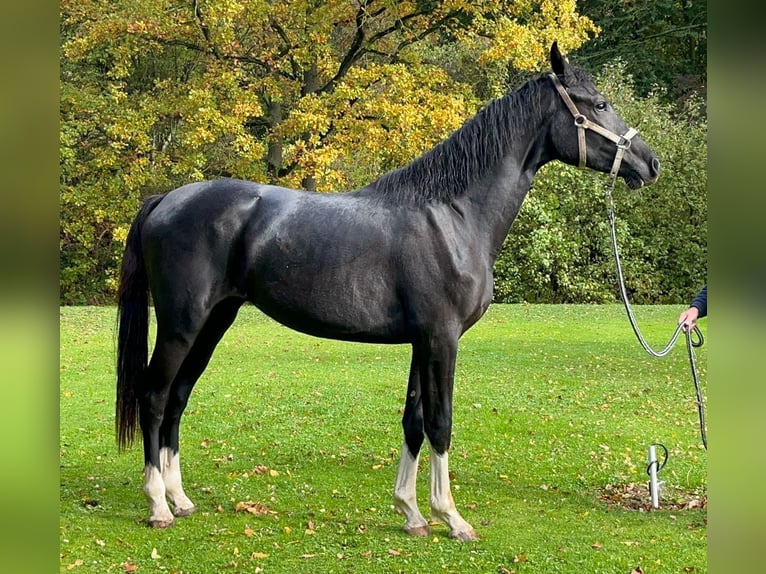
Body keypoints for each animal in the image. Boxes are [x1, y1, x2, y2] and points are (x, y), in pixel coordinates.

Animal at [116, 42, 660, 541]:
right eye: (600, 103)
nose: (650, 163)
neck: (453, 215)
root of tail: (166, 199)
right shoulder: (442, 339)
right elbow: (440, 422)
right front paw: (452, 518)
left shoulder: (423, 340)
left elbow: (413, 421)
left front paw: (412, 513)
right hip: (182, 324)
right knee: (155, 394)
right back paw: (158, 505)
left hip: (214, 321)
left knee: (178, 397)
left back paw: (180, 498)